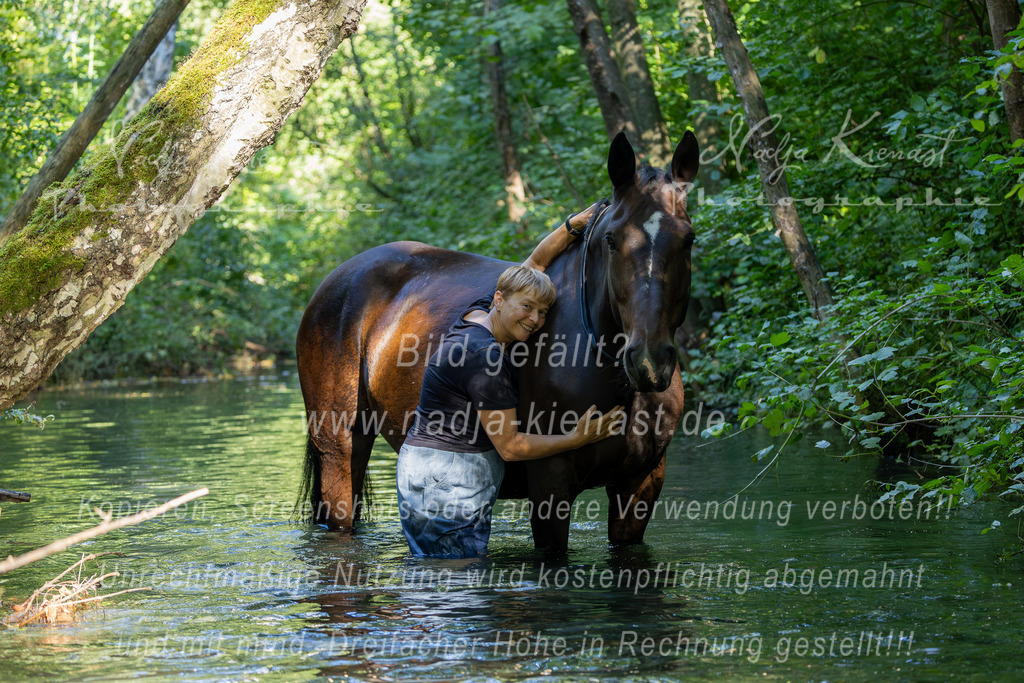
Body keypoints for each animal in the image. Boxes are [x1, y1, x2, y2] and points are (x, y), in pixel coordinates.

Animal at [296, 130, 698, 550]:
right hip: (341, 448)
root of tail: (337, 277)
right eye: (611, 240)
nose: (649, 361)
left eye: (688, 239)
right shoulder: (550, 483)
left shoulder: (640, 484)